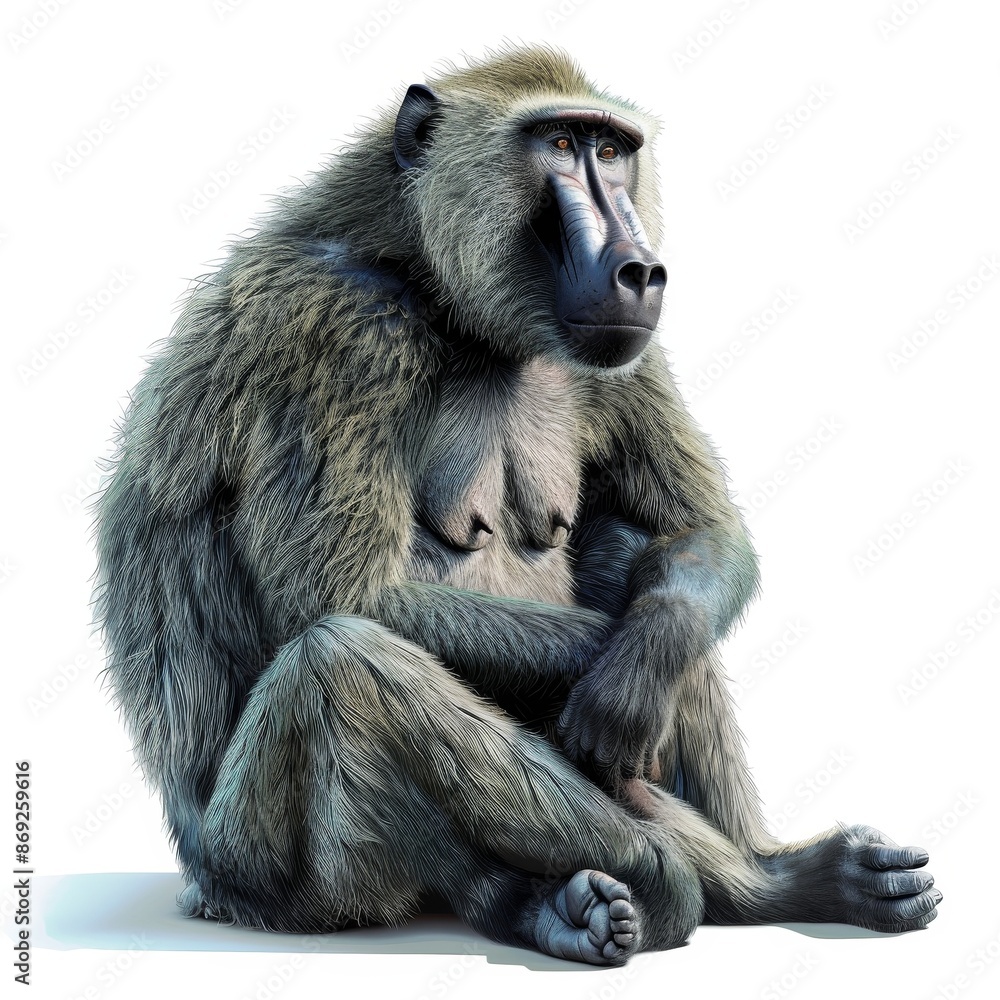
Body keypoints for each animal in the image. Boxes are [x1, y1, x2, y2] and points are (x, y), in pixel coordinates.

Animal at [93, 45, 940, 966]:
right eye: (561, 144)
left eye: (612, 151)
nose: (640, 270)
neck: (433, 289)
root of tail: (203, 883)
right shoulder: (334, 329)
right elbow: (346, 599)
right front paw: (631, 755)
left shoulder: (624, 356)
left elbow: (698, 541)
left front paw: (642, 668)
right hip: (267, 875)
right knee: (339, 665)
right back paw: (622, 880)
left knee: (636, 560)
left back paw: (754, 880)